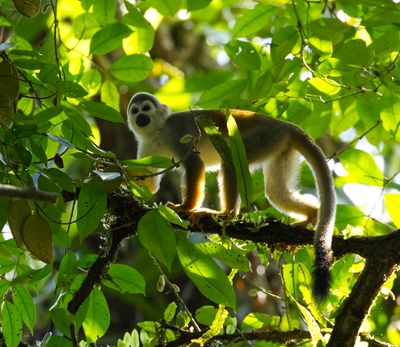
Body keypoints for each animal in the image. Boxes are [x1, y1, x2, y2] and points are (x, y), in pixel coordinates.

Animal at [126, 93, 336, 302]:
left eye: (146, 108)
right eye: (135, 111)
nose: (140, 117)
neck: (157, 132)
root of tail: (287, 126)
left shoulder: (175, 132)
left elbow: (194, 163)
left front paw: (186, 207)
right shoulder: (146, 147)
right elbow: (149, 183)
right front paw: (121, 177)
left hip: (267, 136)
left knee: (230, 161)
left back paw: (227, 214)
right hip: (281, 147)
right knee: (275, 191)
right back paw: (312, 215)